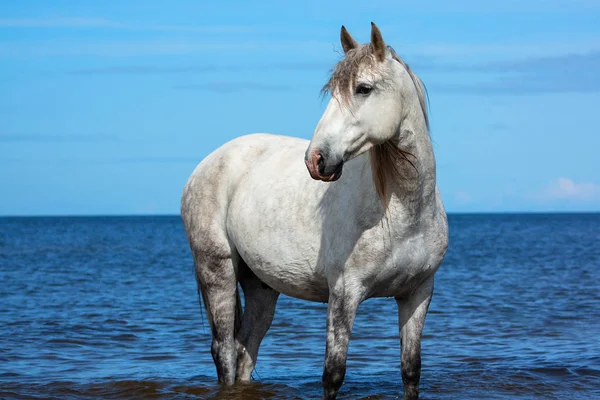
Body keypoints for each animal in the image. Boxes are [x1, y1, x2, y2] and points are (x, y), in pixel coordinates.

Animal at [180, 22, 448, 400]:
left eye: (363, 89)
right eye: (331, 92)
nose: (315, 160)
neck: (402, 214)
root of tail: (206, 165)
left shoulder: (418, 294)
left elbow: (410, 371)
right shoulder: (345, 294)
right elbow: (333, 374)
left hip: (260, 286)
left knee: (246, 348)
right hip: (217, 271)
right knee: (225, 351)